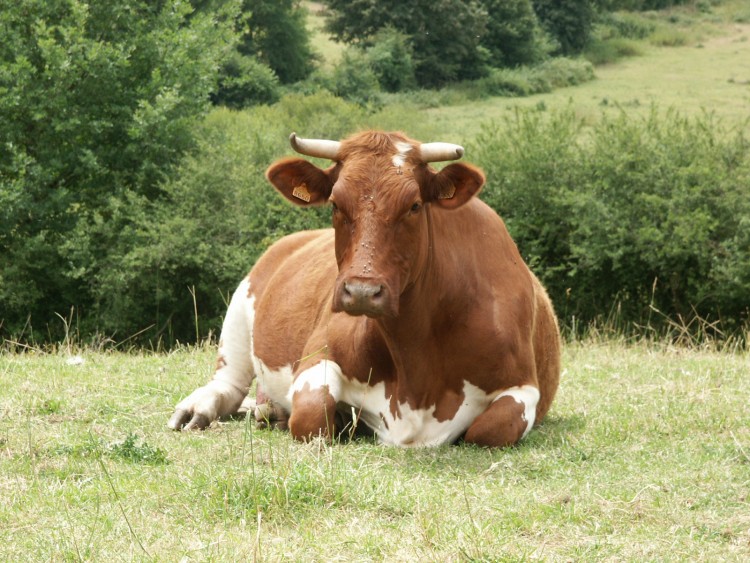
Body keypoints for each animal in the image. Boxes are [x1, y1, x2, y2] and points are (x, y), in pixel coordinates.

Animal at [167, 130, 560, 448]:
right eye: (336, 203)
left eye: (414, 205)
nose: (361, 291)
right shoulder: (318, 356)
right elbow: (312, 414)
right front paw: (336, 418)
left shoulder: (522, 387)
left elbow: (491, 429)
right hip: (239, 309)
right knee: (228, 384)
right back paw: (200, 409)